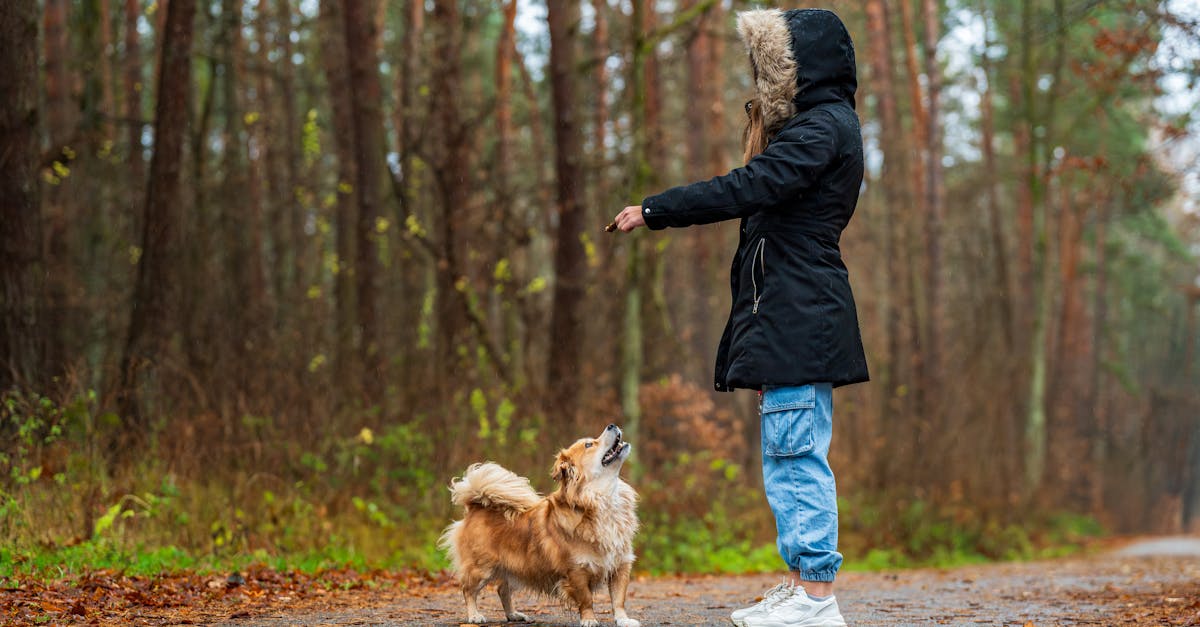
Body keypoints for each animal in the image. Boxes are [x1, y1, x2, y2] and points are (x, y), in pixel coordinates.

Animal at [441, 422, 643, 619]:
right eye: (588, 445)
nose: (612, 425)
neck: (603, 499)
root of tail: (476, 506)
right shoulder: (576, 571)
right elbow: (586, 600)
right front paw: (589, 620)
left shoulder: (620, 564)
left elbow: (618, 599)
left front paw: (623, 620)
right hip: (481, 569)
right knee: (468, 590)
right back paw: (474, 615)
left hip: (516, 569)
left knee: (502, 589)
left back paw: (513, 614)